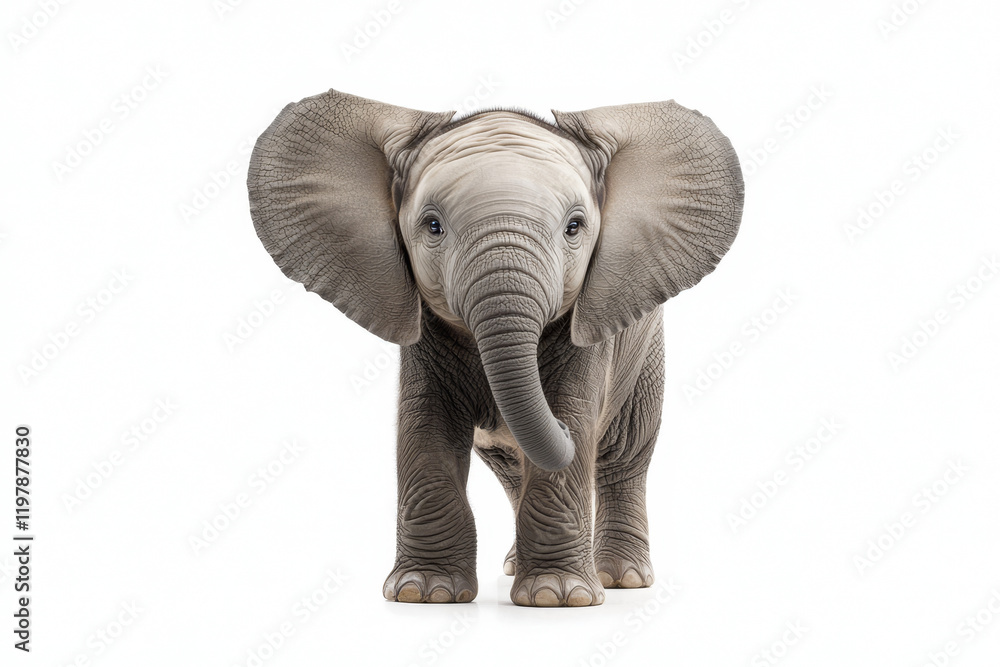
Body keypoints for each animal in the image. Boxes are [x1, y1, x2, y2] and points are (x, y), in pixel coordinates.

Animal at [247, 88, 743, 607]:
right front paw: (424, 593)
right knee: (513, 468)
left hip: (645, 350)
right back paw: (515, 563)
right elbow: (426, 427)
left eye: (575, 227)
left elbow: (573, 411)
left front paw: (557, 597)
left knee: (622, 455)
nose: (564, 433)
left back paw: (619, 578)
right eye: (432, 226)